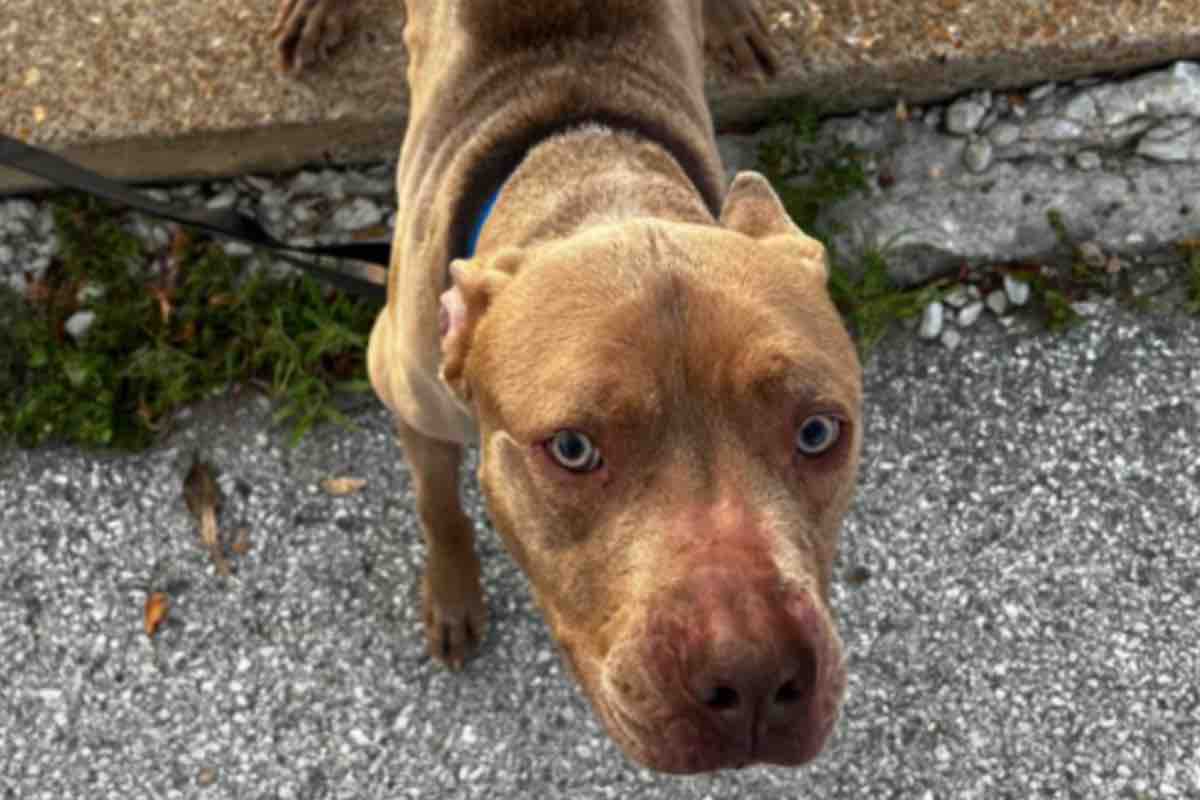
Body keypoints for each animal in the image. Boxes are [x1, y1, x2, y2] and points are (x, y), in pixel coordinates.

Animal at [272, 0, 864, 777]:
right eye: (573, 449)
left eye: (818, 432)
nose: (758, 677)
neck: (596, 178)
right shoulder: (411, 403)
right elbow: (439, 506)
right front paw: (453, 595)